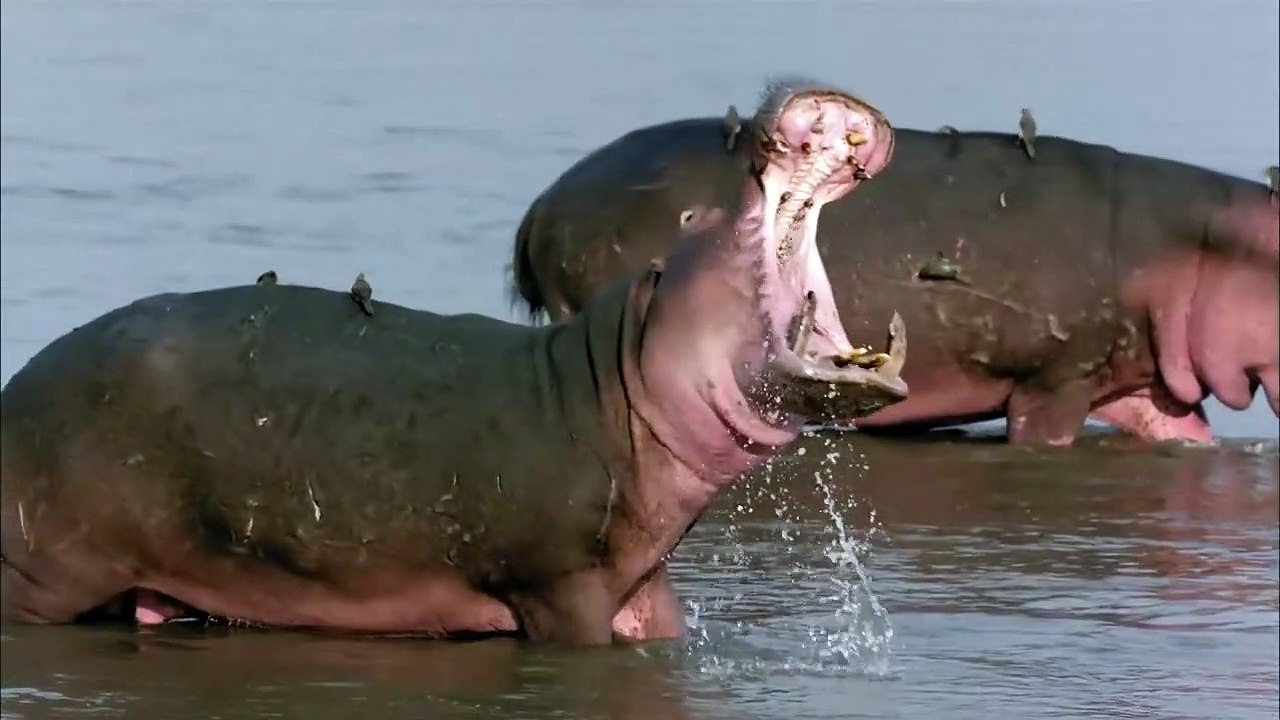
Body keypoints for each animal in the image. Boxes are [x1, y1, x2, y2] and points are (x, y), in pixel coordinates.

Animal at [0, 79, 907, 646]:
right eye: (695, 216)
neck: (611, 378)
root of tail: (16, 387)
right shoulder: (562, 586)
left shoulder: (641, 590)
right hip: (45, 570)